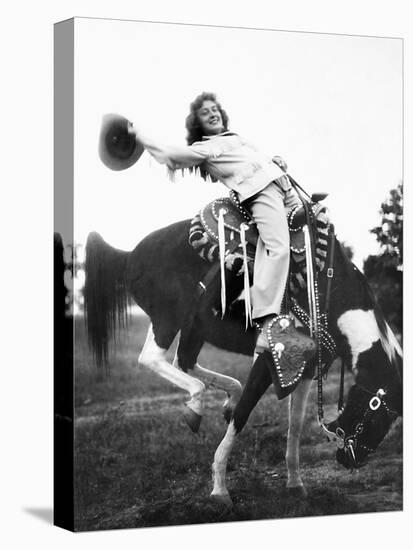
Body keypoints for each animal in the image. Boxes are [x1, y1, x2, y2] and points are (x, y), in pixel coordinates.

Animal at [83, 216, 402, 504]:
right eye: (380, 414)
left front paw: (295, 484)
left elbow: (295, 426)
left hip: (193, 328)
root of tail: (130, 256)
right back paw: (197, 406)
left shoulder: (308, 370)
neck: (324, 293)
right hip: (167, 319)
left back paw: (221, 397)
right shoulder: (268, 361)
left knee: (183, 362)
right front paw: (219, 488)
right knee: (152, 358)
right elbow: (243, 415)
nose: (352, 461)